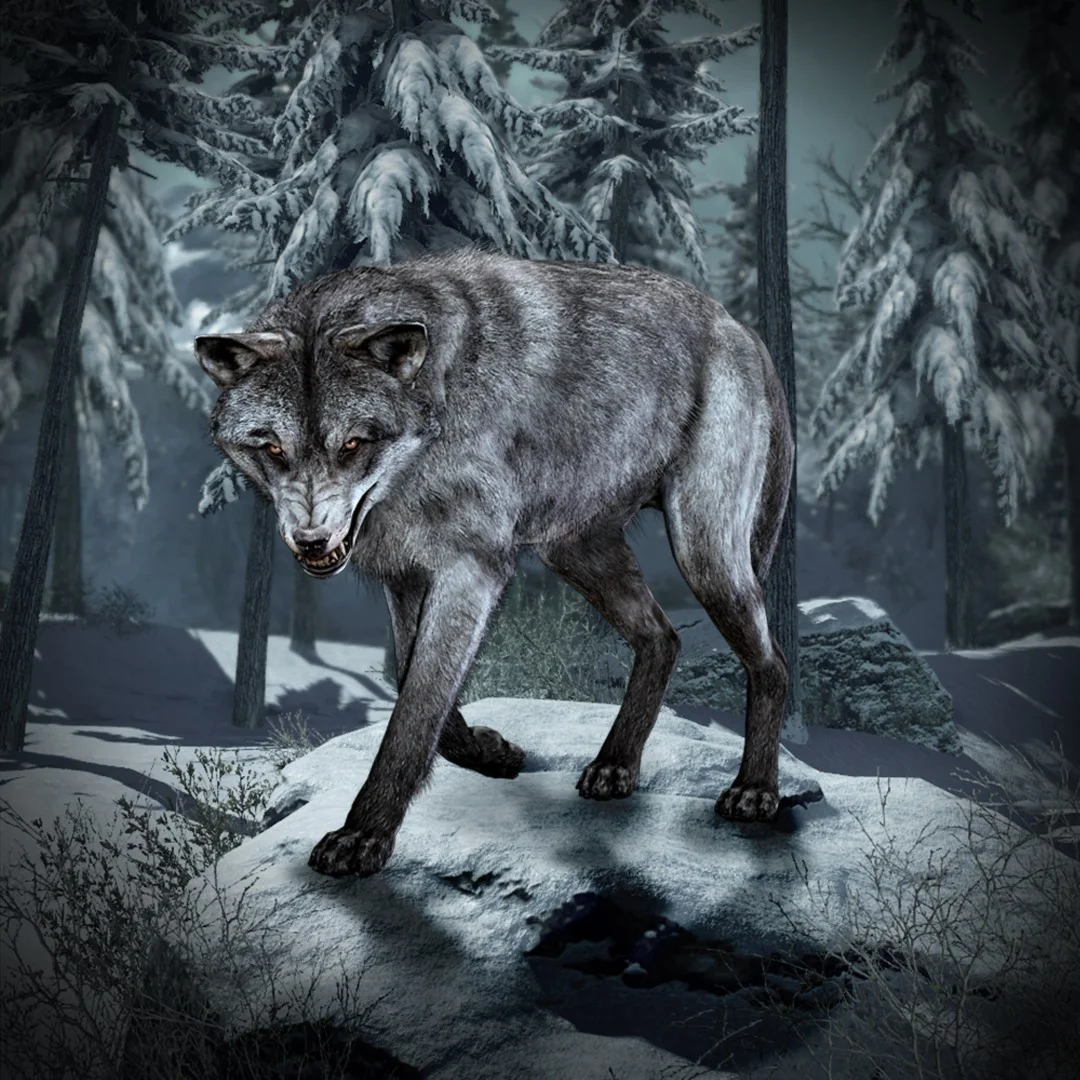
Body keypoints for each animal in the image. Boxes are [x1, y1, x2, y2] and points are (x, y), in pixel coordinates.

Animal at [195, 249, 794, 878]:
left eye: (355, 443)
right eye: (272, 448)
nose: (310, 542)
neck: (438, 406)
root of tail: (739, 327)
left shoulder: (471, 569)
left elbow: (416, 709)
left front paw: (364, 835)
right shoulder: (405, 574)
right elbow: (418, 687)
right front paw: (490, 753)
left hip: (704, 556)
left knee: (771, 662)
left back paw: (755, 790)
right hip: (574, 552)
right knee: (662, 638)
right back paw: (616, 766)